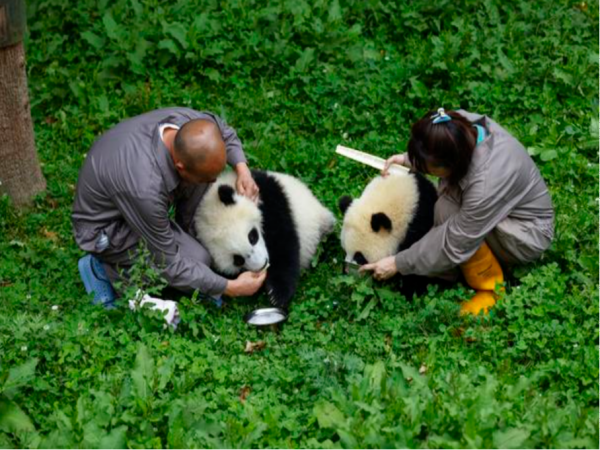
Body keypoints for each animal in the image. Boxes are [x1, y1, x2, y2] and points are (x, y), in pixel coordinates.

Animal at [195, 169, 336, 310]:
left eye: (252, 237)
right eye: (238, 260)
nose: (263, 264)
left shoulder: (268, 198)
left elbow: (283, 243)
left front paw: (278, 294)